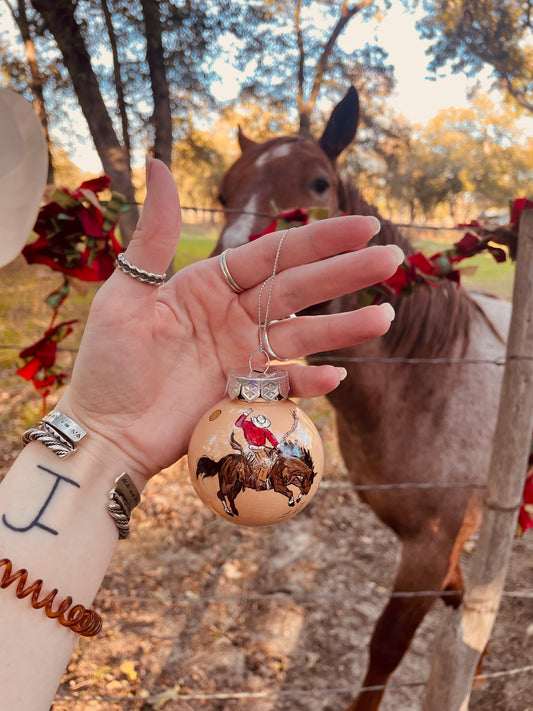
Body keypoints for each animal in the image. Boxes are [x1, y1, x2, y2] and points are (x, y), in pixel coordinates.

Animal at [210, 85, 510, 711]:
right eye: (223, 193)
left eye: (320, 184)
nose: (241, 280)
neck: (430, 379)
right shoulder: (438, 550)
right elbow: (463, 604)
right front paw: (473, 669)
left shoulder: (430, 547)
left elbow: (387, 647)